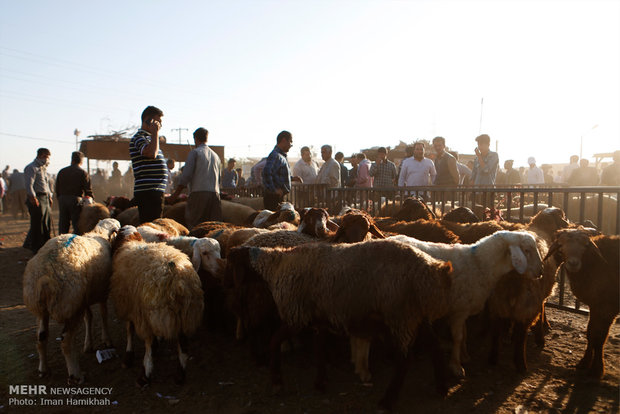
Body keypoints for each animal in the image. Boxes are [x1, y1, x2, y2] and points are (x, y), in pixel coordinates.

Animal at [23, 218, 120, 384]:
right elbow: (103, 314)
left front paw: (89, 344)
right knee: (66, 342)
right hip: (70, 305)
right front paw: (106, 339)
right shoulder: (102, 292)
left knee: (41, 338)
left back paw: (43, 369)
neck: (100, 234)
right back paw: (76, 374)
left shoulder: (84, 299)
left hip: (43, 309)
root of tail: (45, 277)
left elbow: (89, 317)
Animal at [108, 226, 202, 384]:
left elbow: (129, 330)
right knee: (183, 345)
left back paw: (145, 374)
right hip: (185, 314)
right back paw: (180, 374)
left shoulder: (130, 305)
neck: (129, 241)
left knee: (149, 343)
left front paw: (128, 356)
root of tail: (178, 279)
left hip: (153, 314)